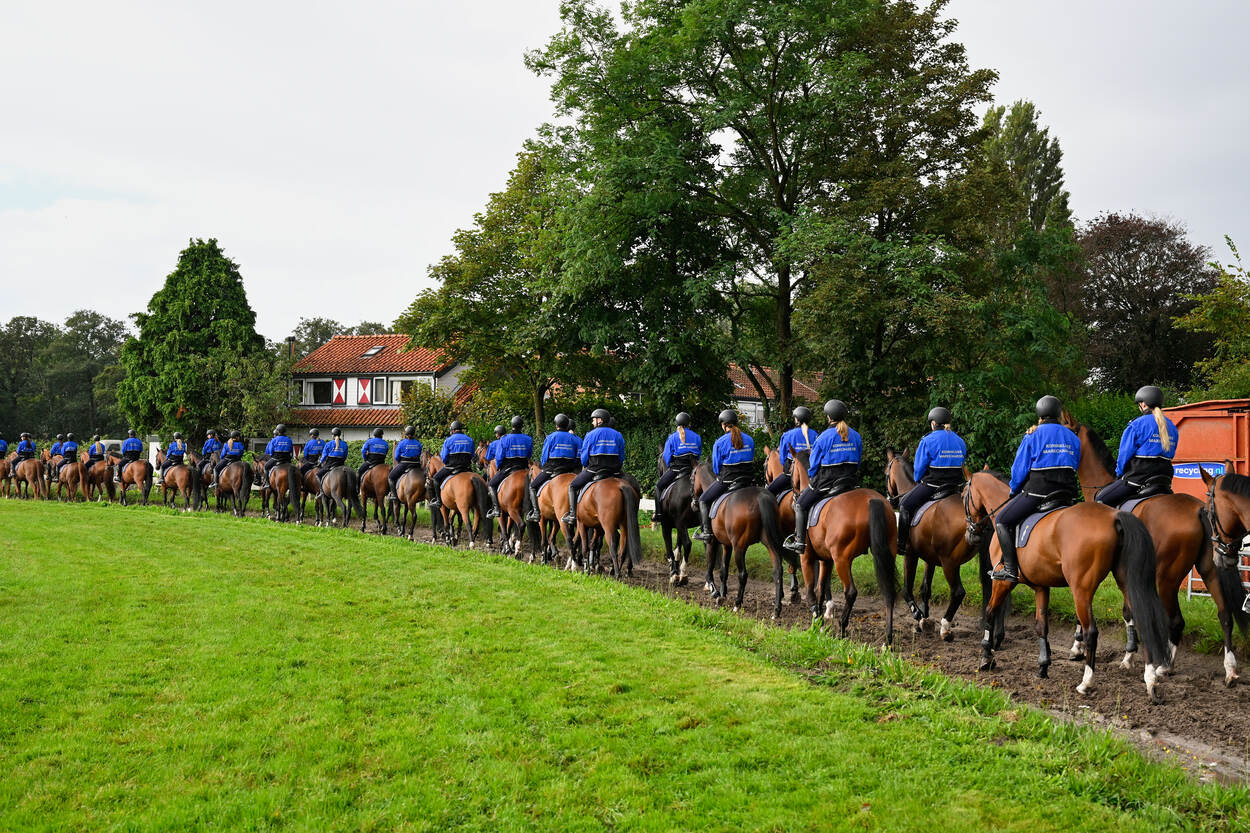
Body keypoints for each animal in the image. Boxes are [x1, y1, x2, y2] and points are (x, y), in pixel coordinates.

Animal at [690, 460, 795, 615]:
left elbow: (710, 566)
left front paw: (715, 591)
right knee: (777, 570)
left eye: (692, 478)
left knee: (743, 574)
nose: (693, 504)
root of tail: (760, 497)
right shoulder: (726, 544)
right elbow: (724, 570)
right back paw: (776, 609)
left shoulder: (712, 541)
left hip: (739, 547)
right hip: (769, 542)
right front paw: (722, 594)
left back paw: (738, 603)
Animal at [790, 472, 900, 640]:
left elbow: (810, 592)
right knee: (889, 592)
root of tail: (871, 499)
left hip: (841, 559)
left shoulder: (806, 557)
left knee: (850, 592)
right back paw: (887, 639)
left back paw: (842, 628)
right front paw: (820, 623)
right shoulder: (826, 560)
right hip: (886, 554)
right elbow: (820, 589)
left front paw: (816, 624)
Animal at [885, 445, 1000, 637]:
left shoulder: (910, 554)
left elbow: (907, 590)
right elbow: (925, 589)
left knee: (958, 592)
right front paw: (924, 620)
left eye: (886, 472)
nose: (889, 498)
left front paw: (919, 616)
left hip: (949, 563)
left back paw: (946, 627)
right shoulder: (929, 559)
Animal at [965, 467, 1170, 700]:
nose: (970, 534)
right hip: (1125, 582)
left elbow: (990, 612)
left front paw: (986, 656)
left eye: (964, 494)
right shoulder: (1041, 587)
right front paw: (1043, 667)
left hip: (1080, 590)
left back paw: (1086, 682)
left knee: (1091, 632)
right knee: (1142, 620)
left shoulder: (1003, 583)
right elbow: (1041, 626)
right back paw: (1150, 679)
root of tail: (1114, 516)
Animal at [1060, 412, 1245, 680]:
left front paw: (1084, 647)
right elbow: (1130, 611)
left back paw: (1165, 666)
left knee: (1176, 621)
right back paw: (1229, 668)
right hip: (1210, 570)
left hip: (1167, 578)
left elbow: (1119, 611)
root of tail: (1198, 508)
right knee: (1225, 615)